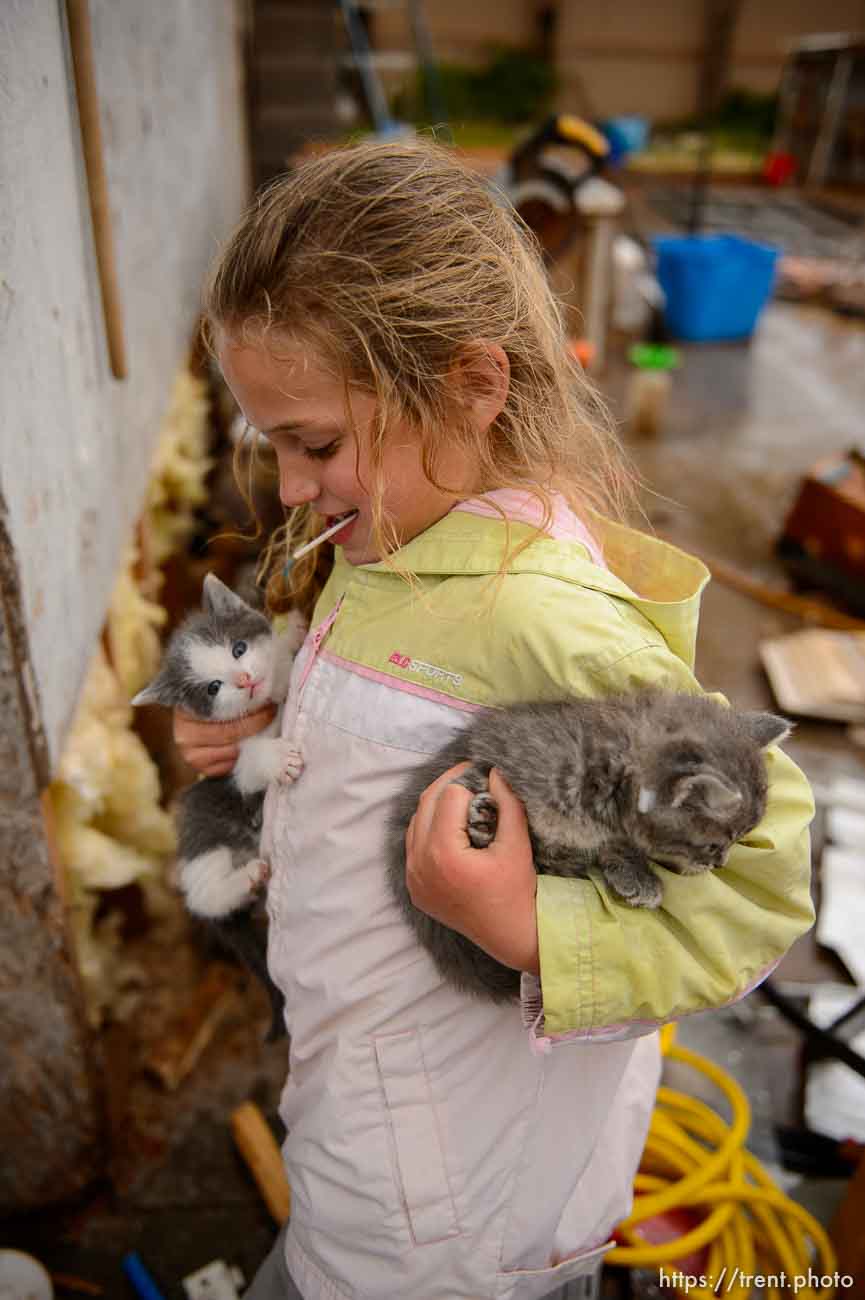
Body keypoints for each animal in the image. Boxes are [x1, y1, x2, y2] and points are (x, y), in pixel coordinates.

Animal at [133, 574, 305, 1040]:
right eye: (213, 688)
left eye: (238, 649)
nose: (244, 680)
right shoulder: (231, 767)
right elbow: (250, 761)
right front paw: (277, 759)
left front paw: (290, 634)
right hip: (202, 828)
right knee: (204, 895)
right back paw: (243, 878)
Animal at [385, 691, 790, 1003]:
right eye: (713, 845)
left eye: (739, 839)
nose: (720, 863)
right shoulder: (496, 758)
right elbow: (479, 780)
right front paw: (488, 820)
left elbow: (603, 847)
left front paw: (632, 871)